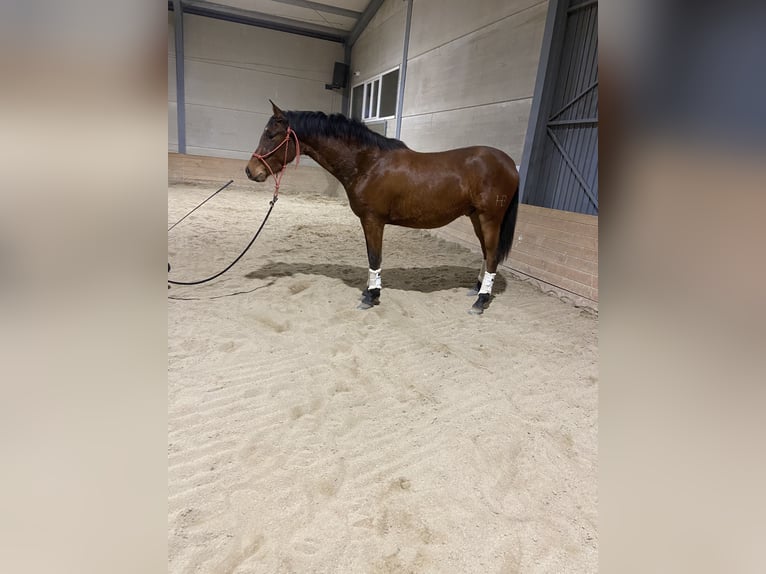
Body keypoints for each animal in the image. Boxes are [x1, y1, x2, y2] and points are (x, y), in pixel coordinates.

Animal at [246, 101, 520, 312]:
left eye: (271, 135)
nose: (251, 171)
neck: (368, 162)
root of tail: (509, 163)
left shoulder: (372, 220)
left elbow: (374, 256)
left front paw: (371, 295)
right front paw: (370, 291)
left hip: (489, 218)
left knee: (492, 255)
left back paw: (481, 301)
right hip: (476, 217)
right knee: (486, 253)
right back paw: (477, 288)